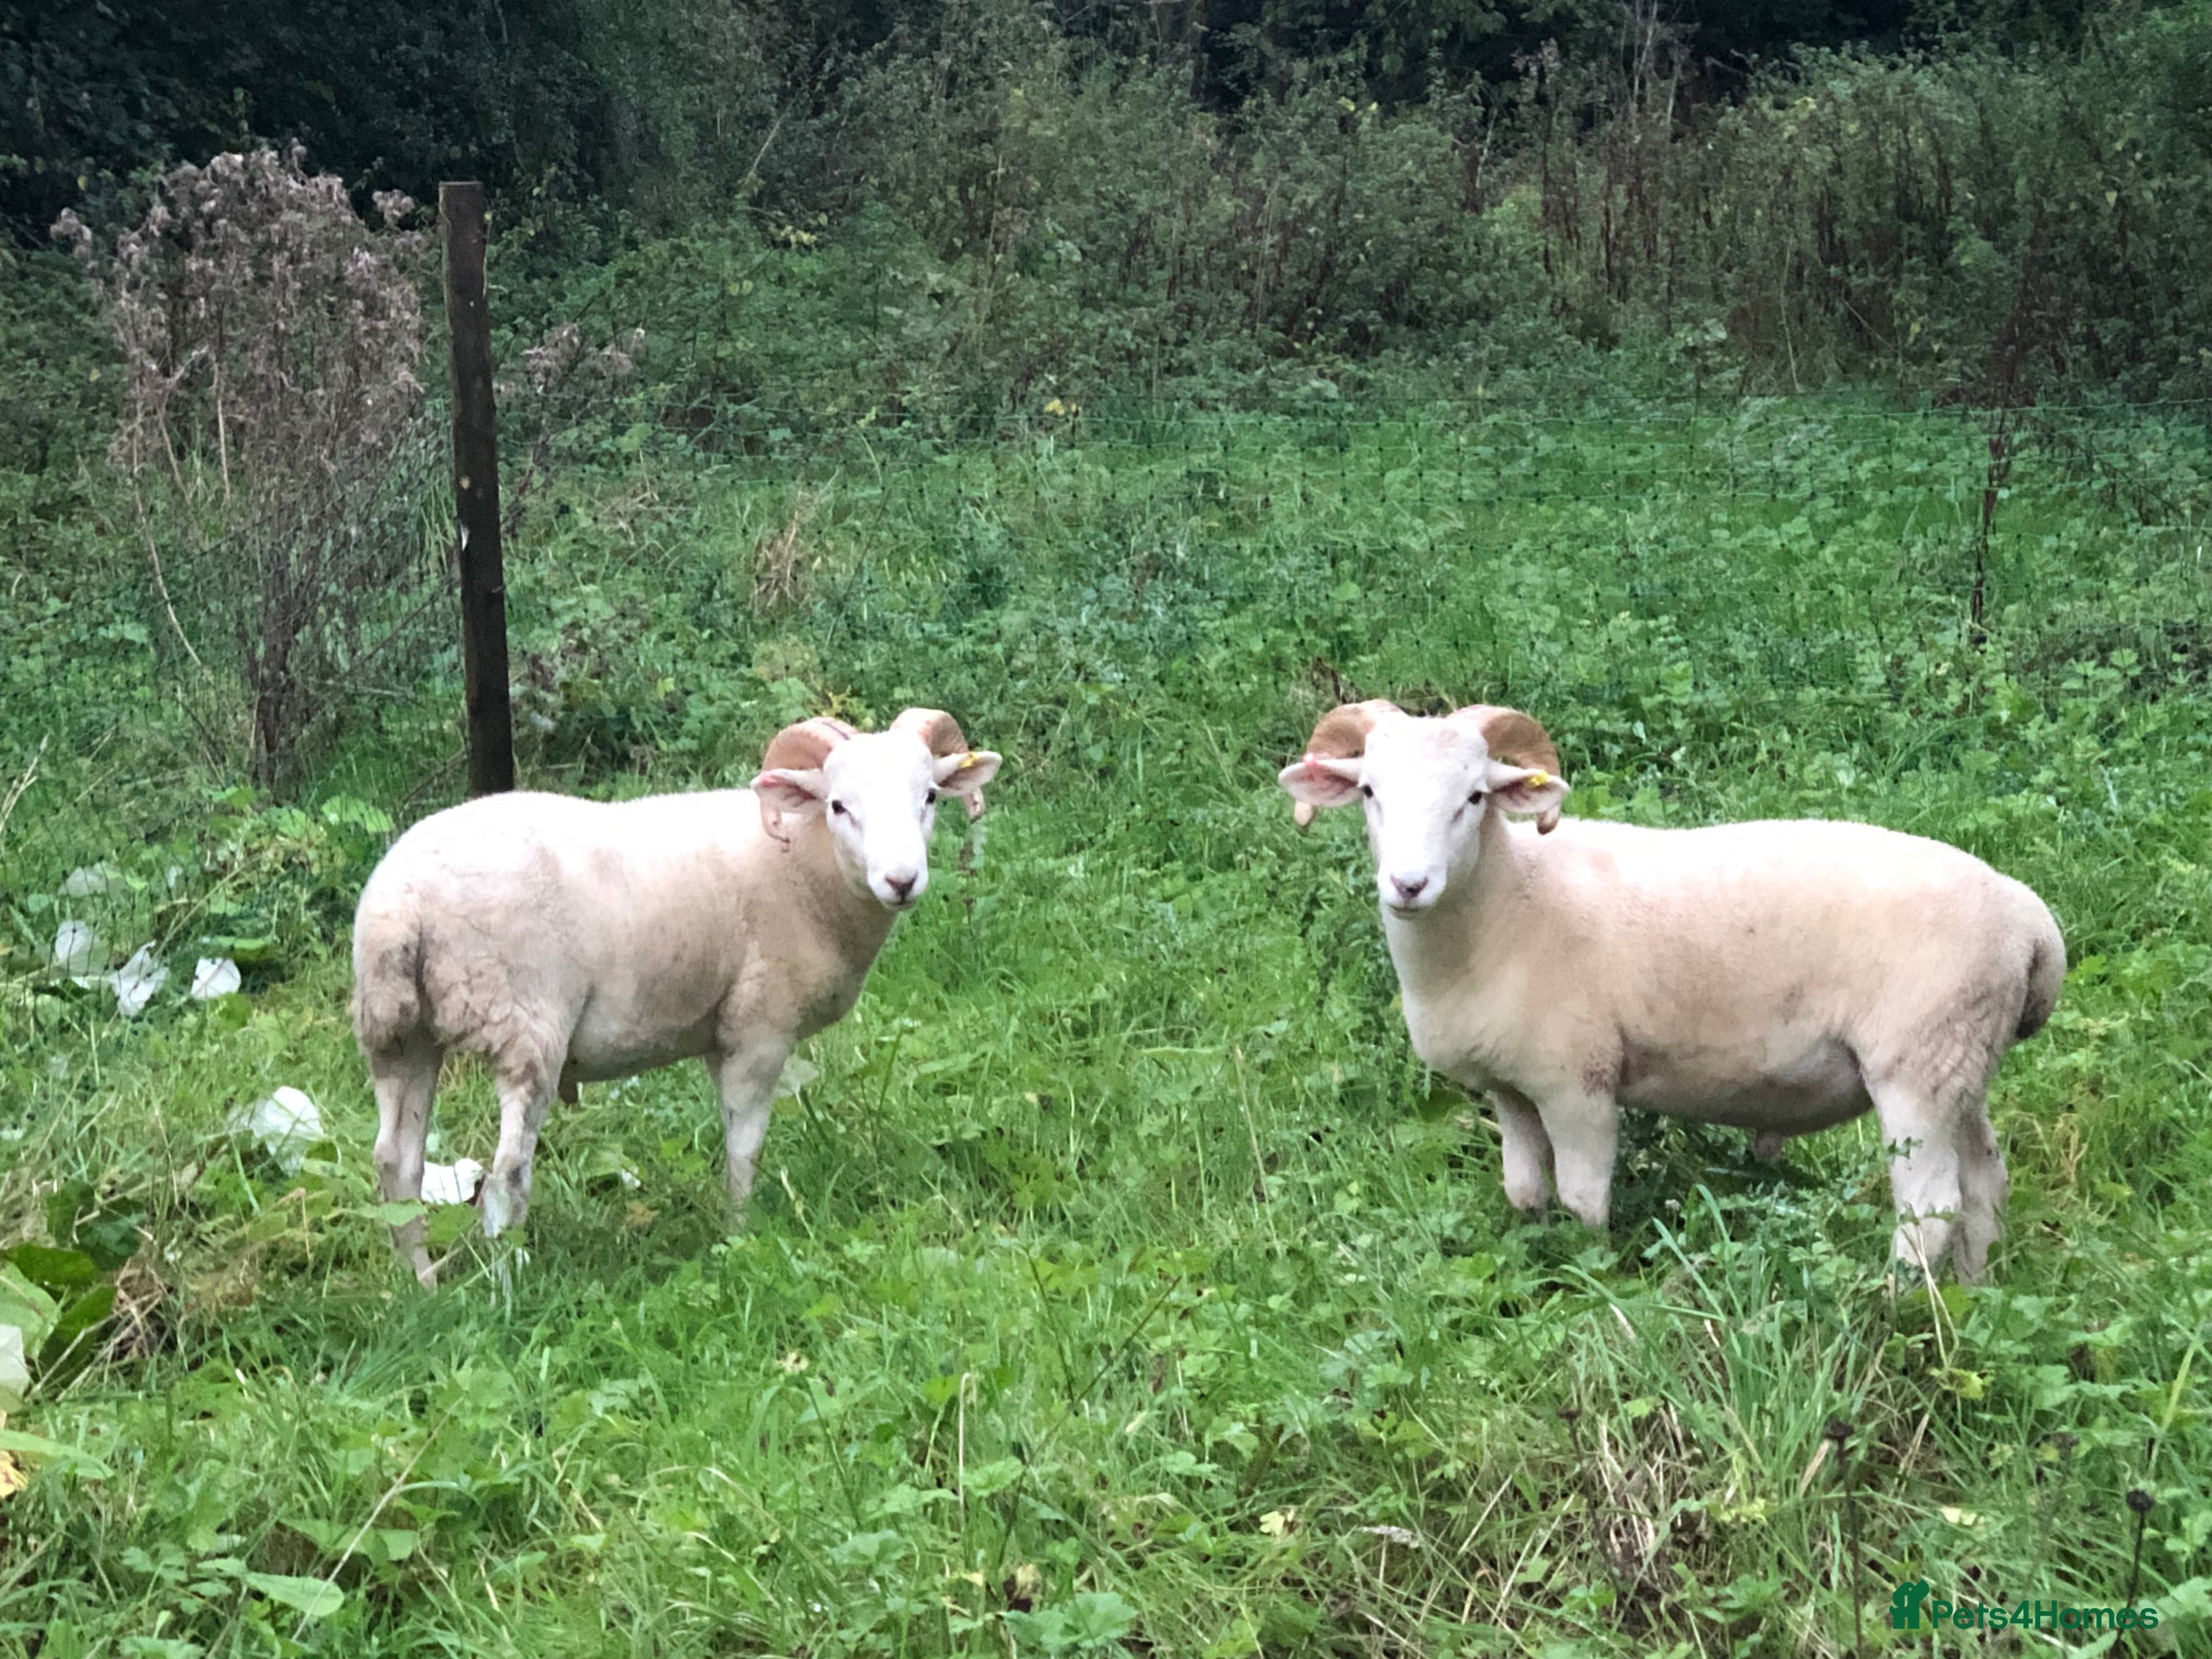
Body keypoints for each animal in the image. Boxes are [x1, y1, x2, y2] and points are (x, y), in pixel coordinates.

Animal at [351, 708, 1001, 1284]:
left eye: (930, 797)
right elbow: (745, 1151)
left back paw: (421, 1286)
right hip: (524, 1027)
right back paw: (507, 1287)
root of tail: (400, 904)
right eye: (840, 805)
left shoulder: (718, 1033)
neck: (803, 860)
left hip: (401, 1035)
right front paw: (739, 1238)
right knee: (507, 1173)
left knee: (396, 1164)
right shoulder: (759, 1030)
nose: (902, 881)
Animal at [1278, 699, 2064, 1281]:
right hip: (1961, 1064)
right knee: (1983, 1186)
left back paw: (1898, 1309)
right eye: (1371, 793)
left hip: (1915, 1070)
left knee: (1930, 1209)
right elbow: (1526, 1194)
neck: (1511, 903)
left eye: (1473, 798)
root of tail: (2031, 922)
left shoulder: (1578, 1081)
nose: (1408, 885)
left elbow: (1583, 1198)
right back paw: (1971, 1295)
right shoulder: (1512, 1088)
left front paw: (1594, 1280)